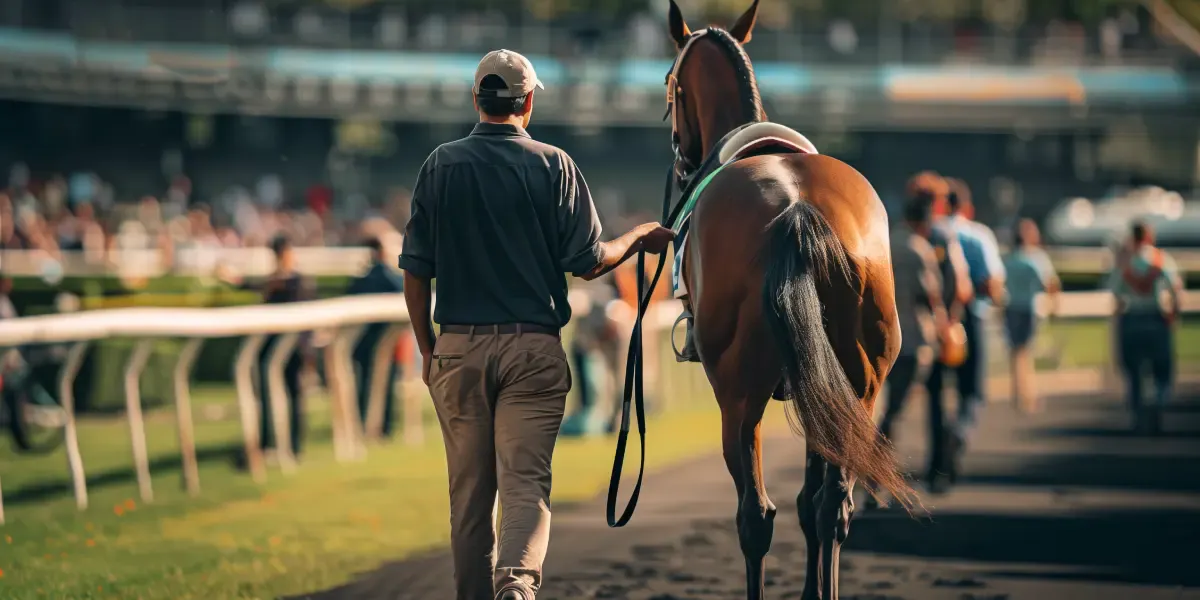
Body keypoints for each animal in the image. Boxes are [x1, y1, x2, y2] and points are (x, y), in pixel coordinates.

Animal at [651, 2, 918, 598]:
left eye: (669, 84)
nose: (679, 157)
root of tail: (796, 208)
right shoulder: (819, 385)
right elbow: (811, 501)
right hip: (859, 386)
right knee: (830, 507)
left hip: (737, 397)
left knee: (756, 515)